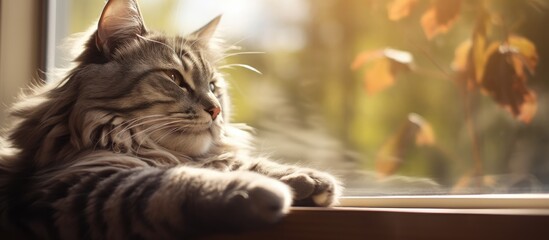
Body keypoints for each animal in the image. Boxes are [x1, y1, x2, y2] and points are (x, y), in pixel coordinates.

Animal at [0, 0, 340, 239]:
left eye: (213, 87)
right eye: (175, 78)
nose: (215, 110)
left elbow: (234, 162)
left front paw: (307, 180)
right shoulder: (73, 187)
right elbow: (176, 180)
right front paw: (260, 189)